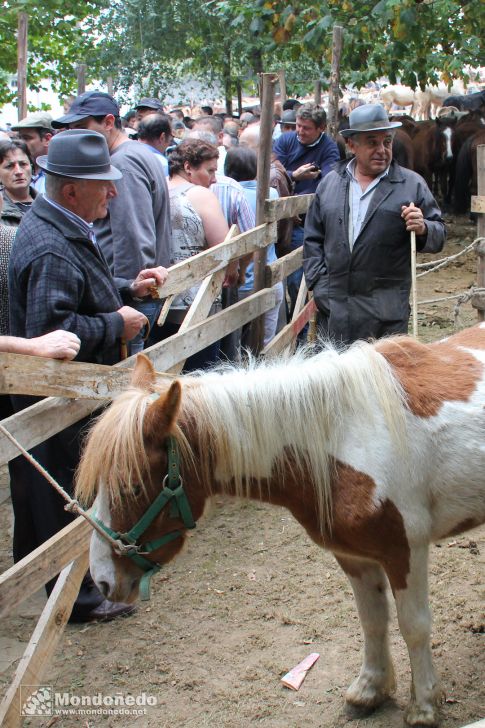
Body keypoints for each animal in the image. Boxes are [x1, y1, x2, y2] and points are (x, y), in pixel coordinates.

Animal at [74, 328, 484, 728]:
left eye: (132, 487)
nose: (103, 580)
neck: (343, 438)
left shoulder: (404, 550)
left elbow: (413, 625)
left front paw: (424, 705)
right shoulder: (353, 555)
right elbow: (372, 621)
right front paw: (370, 689)